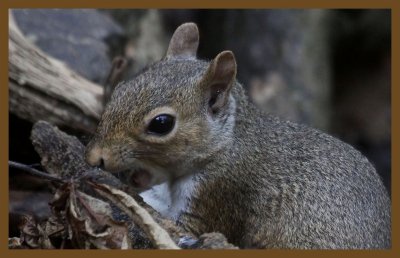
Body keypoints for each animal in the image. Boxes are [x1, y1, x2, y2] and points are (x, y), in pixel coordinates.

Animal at [85, 23, 390, 249]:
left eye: (161, 124)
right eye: (122, 87)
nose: (96, 157)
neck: (227, 143)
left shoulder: (220, 191)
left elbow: (177, 225)